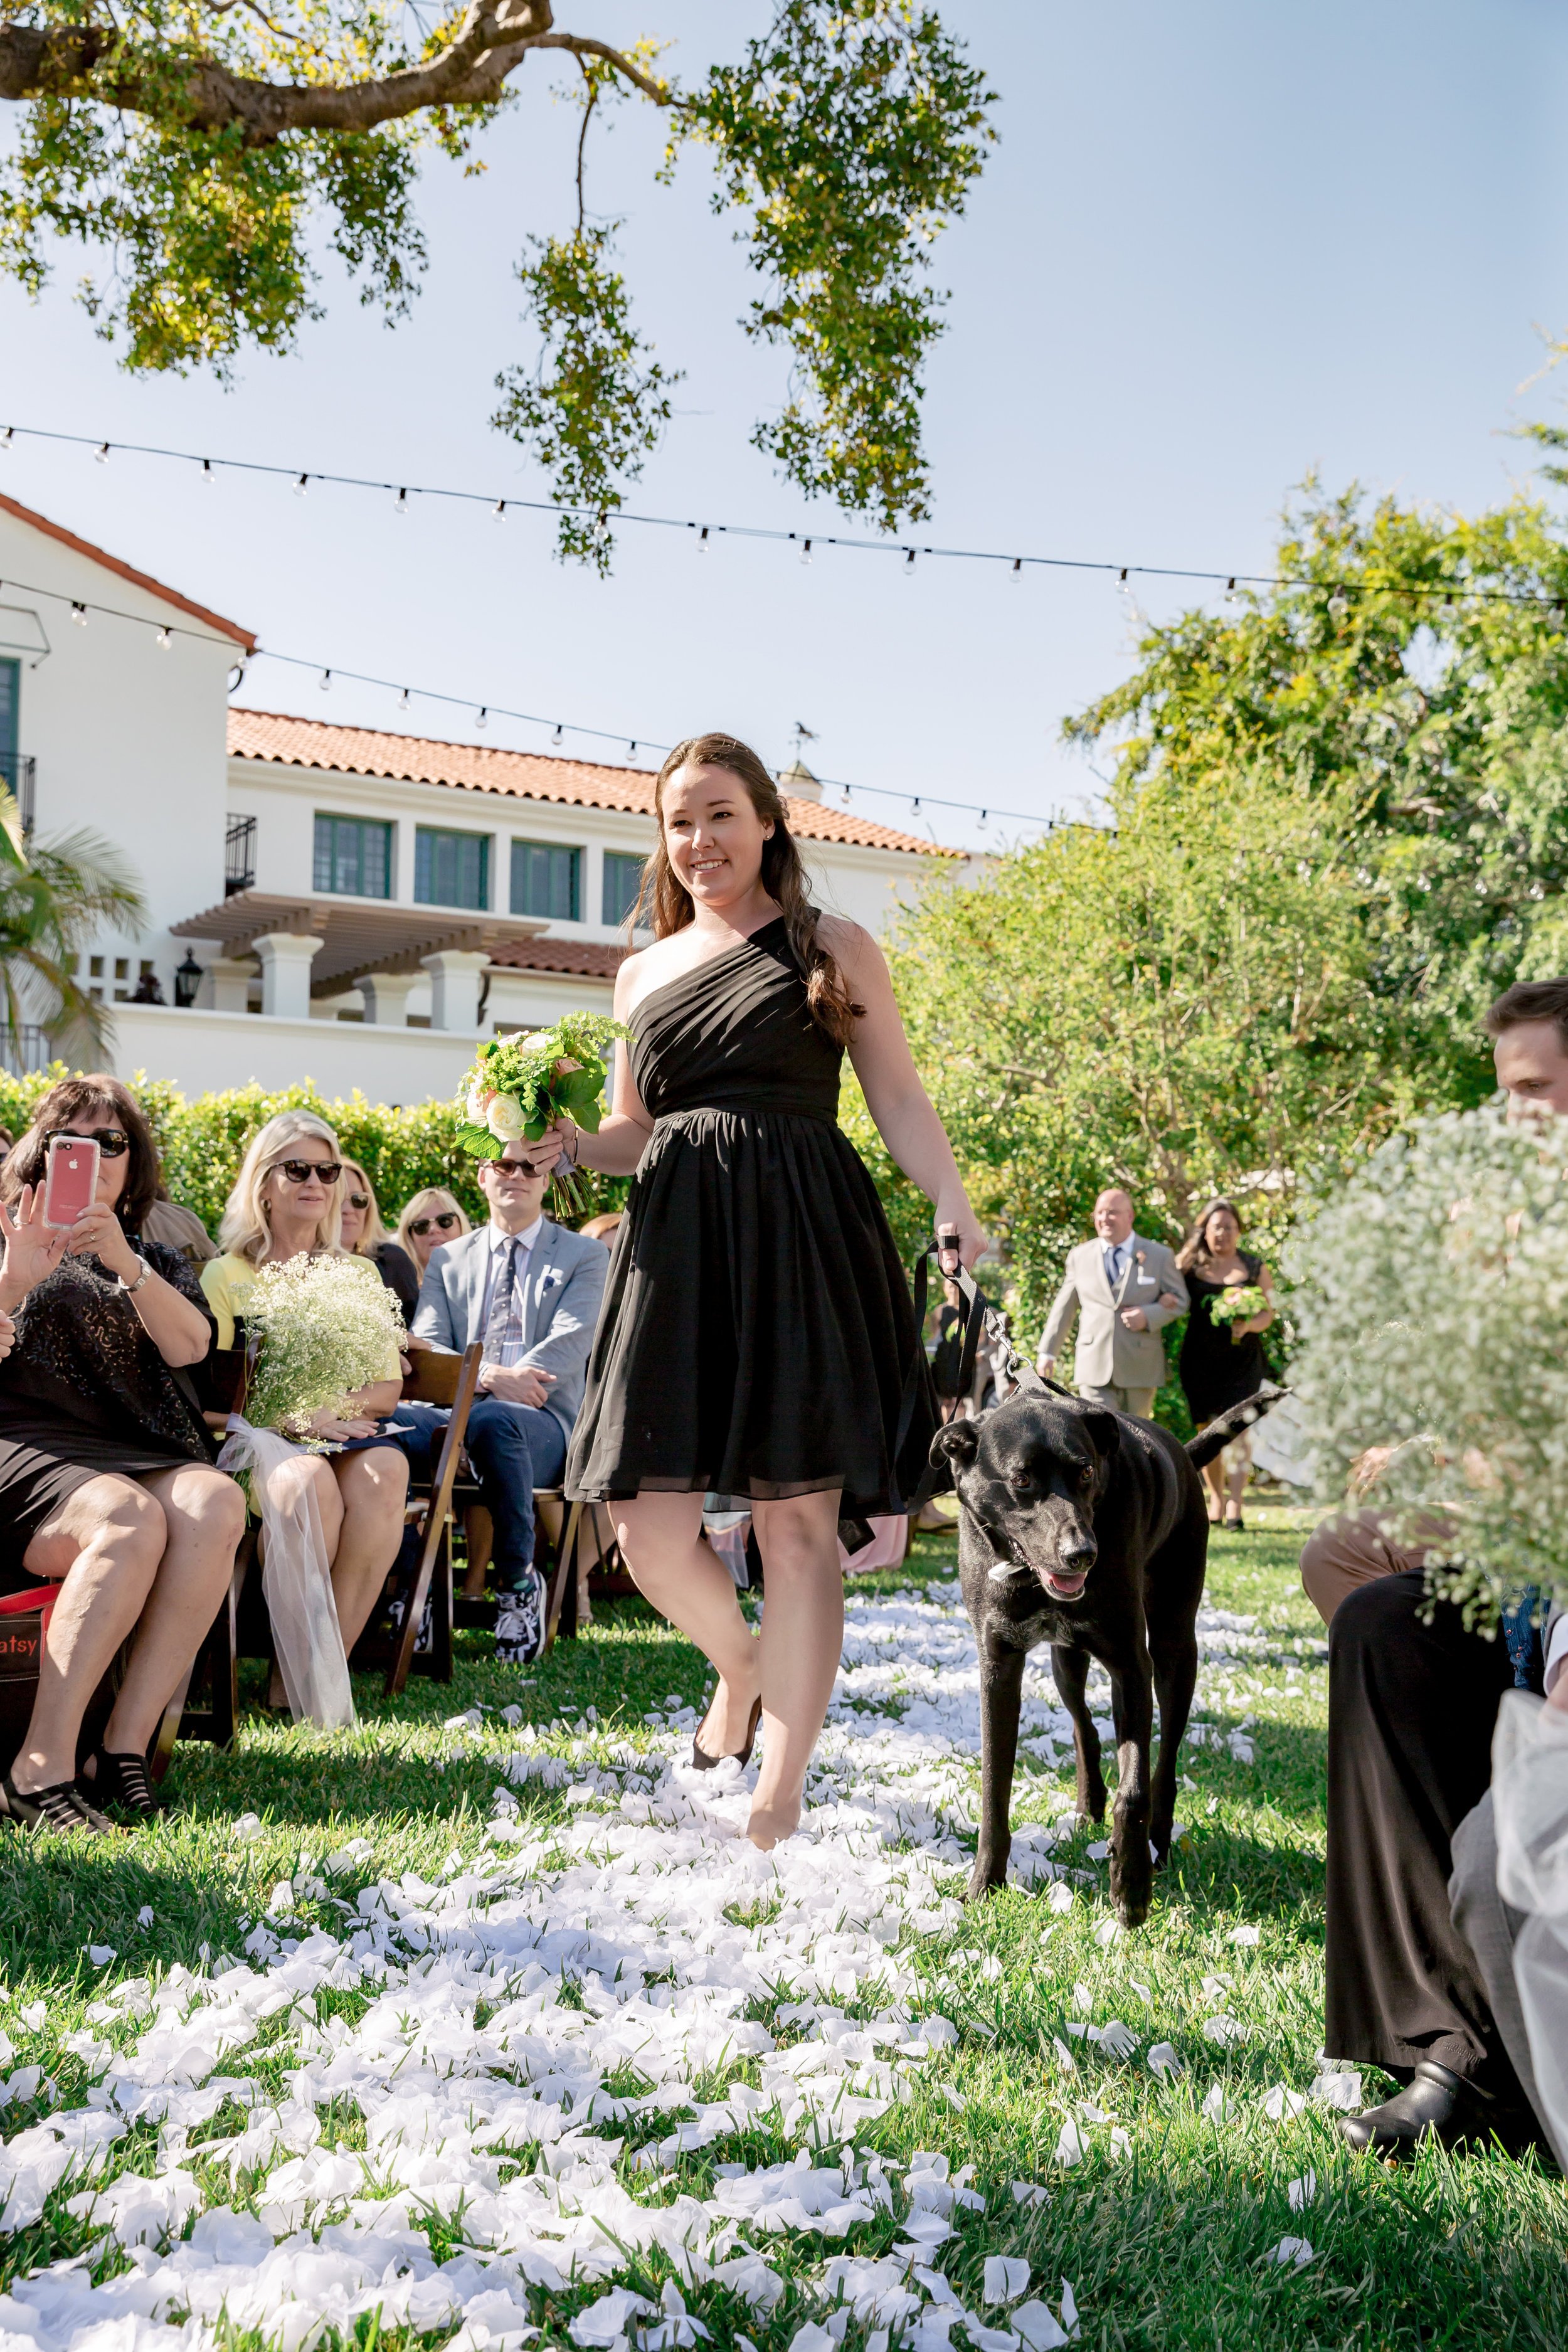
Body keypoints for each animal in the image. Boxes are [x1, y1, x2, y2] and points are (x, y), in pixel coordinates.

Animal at [931, 1383, 1278, 1919]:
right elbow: (995, 1786)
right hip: (1066, 1661)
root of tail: (1181, 1451)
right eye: (1021, 1479)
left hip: (1175, 1650)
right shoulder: (998, 1666)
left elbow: (1134, 1789)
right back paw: (1090, 1804)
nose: (1083, 1555)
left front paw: (1131, 1887)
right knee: (1085, 1729)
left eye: (1087, 1472)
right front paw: (984, 1885)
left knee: (1163, 1762)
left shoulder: (1132, 1666)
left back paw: (1156, 1843)